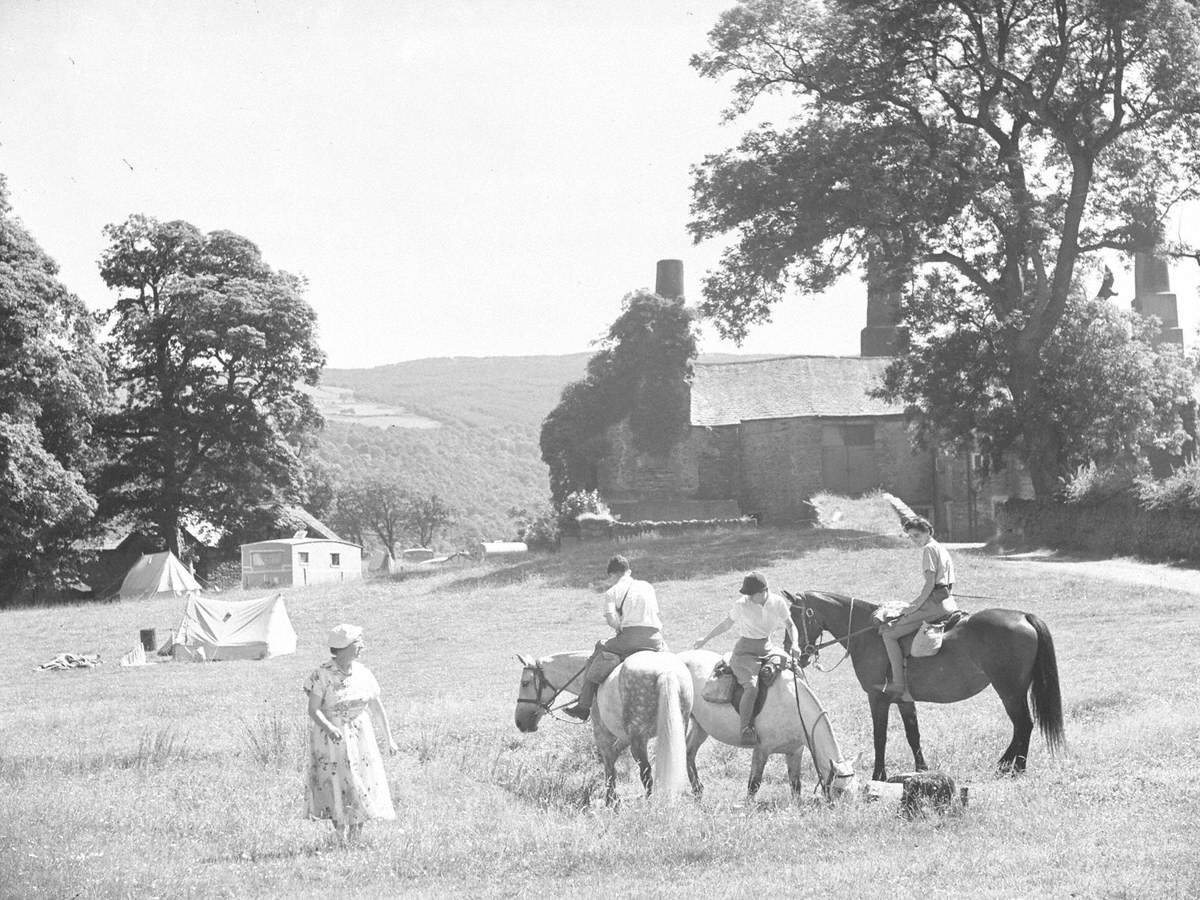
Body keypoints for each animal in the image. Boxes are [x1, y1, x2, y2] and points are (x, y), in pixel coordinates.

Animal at [511, 652, 691, 806]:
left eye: (525, 683)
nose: (519, 722)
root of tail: (666, 673)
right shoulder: (624, 737)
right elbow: (612, 757)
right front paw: (613, 798)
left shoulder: (602, 733)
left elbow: (609, 762)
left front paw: (610, 800)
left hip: (638, 739)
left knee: (646, 773)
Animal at [681, 648, 859, 801]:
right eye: (839, 790)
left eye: (854, 789)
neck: (793, 706)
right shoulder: (761, 749)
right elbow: (754, 784)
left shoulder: (795, 752)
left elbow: (795, 785)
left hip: (700, 727)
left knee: (689, 752)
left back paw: (698, 790)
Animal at [792, 592, 1065, 782]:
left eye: (797, 617)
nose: (797, 654)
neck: (868, 635)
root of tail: (1023, 616)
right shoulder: (904, 700)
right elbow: (913, 735)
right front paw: (922, 770)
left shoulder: (877, 699)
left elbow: (879, 737)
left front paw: (878, 774)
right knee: (1022, 727)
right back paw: (1007, 765)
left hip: (1009, 691)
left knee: (1023, 725)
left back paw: (1014, 767)